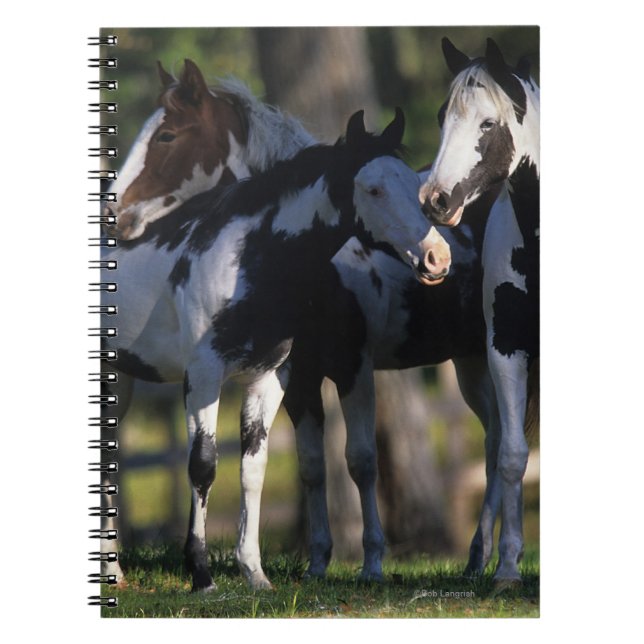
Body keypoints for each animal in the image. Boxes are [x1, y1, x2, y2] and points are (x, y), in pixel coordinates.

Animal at [101, 107, 451, 591]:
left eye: (412, 187)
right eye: (374, 189)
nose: (438, 258)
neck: (250, 261)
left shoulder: (268, 377)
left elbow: (253, 468)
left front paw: (254, 573)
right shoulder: (204, 374)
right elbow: (203, 466)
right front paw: (201, 574)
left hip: (122, 381)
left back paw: (113, 571)